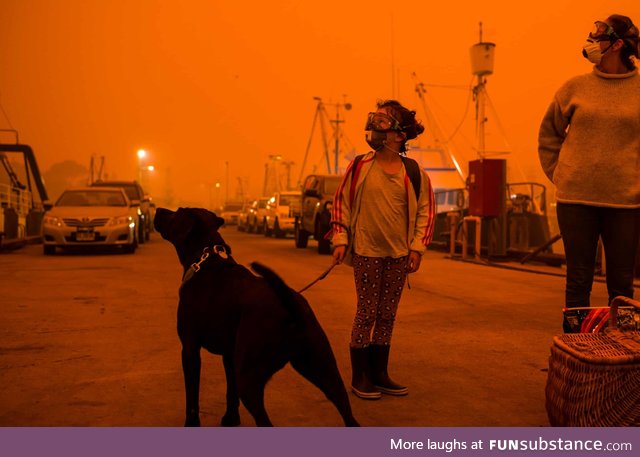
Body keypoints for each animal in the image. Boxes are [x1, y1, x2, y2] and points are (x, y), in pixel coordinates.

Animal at [153, 207, 358, 428]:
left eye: (177, 212)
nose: (158, 209)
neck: (206, 259)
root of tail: (290, 307)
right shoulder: (229, 355)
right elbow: (230, 392)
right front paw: (231, 419)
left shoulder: (190, 348)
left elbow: (192, 399)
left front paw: (192, 423)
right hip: (323, 369)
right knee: (348, 411)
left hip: (249, 378)